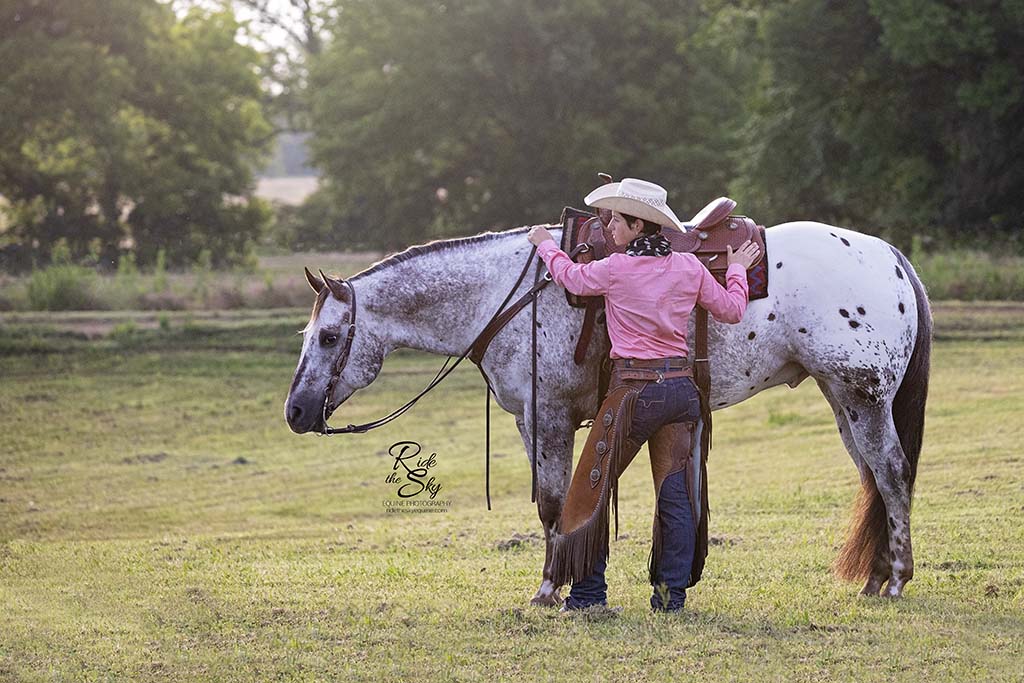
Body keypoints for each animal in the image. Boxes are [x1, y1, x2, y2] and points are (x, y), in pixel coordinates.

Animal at [286, 219, 929, 602]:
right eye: (306, 333)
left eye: (328, 336)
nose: (295, 412)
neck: (511, 297)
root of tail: (890, 255)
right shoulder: (531, 422)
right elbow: (552, 505)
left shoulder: (549, 418)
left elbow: (553, 503)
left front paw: (549, 589)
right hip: (844, 402)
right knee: (873, 478)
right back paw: (874, 580)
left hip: (863, 397)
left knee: (893, 473)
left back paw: (896, 580)